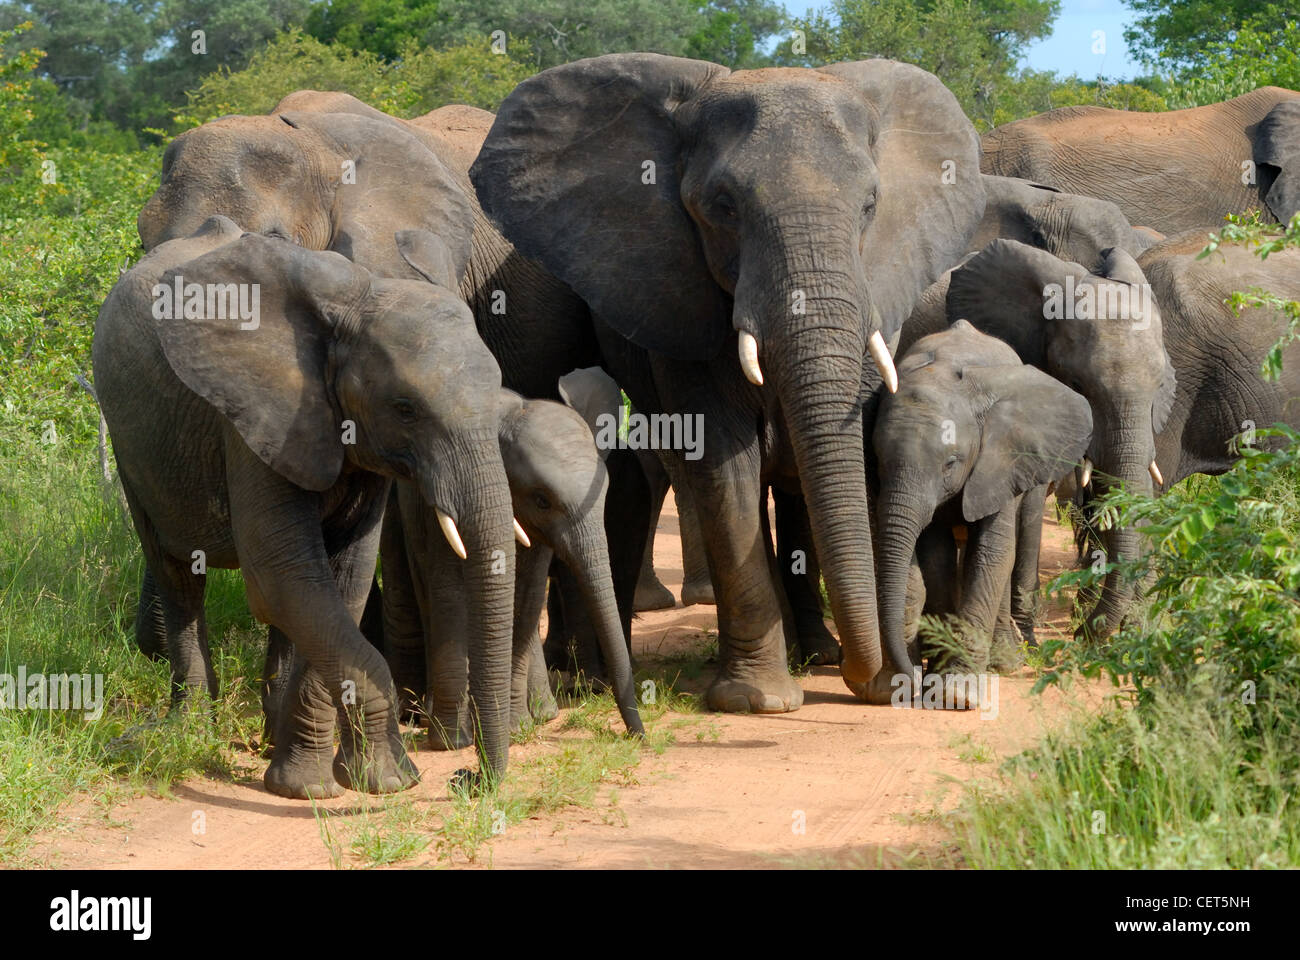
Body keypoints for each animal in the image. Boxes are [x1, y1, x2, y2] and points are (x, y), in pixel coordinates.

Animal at [93, 216, 518, 797]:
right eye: (405, 408)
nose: (466, 778)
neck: (358, 301)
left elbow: (343, 581)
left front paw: (332, 784)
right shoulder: (253, 414)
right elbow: (284, 577)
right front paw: (375, 782)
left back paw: (271, 735)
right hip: (130, 442)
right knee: (178, 573)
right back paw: (190, 732)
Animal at [381, 386, 644, 749]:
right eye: (542, 500)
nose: (639, 736)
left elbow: (528, 596)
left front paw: (515, 727)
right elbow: (452, 592)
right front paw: (454, 741)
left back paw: (542, 713)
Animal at [471, 54, 989, 709]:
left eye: (871, 205)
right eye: (723, 207)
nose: (882, 676)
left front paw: (863, 681)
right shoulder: (682, 302)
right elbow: (725, 462)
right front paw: (758, 701)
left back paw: (815, 652)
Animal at [871, 319, 1093, 706]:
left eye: (950, 463)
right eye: (879, 460)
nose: (908, 681)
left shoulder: (999, 458)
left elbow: (992, 552)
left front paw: (957, 693)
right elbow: (936, 557)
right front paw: (938, 679)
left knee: (1014, 542)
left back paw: (1005, 661)